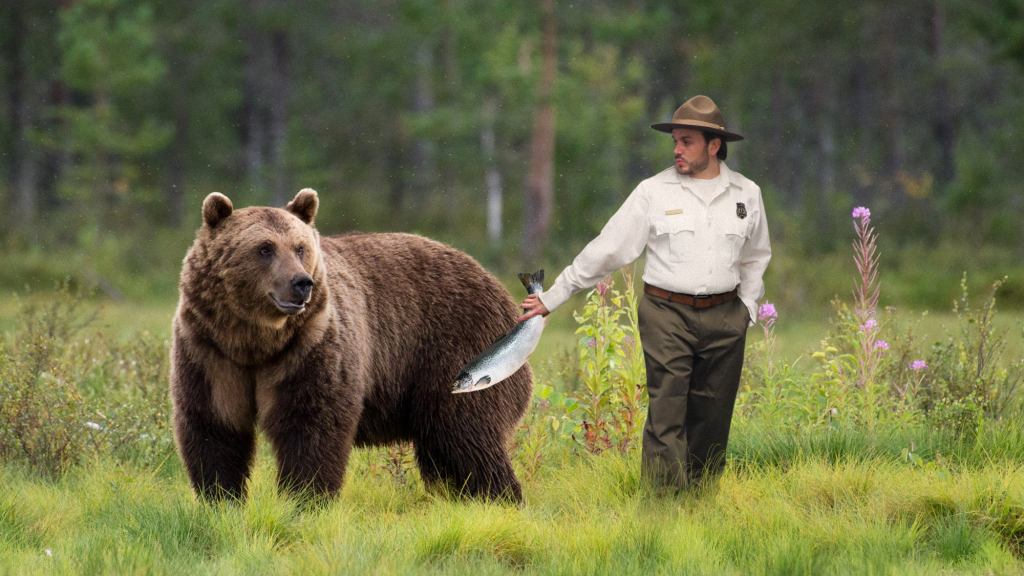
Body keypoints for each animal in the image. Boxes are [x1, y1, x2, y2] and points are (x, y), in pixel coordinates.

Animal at [171, 187, 532, 498]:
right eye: (264, 248)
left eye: (300, 247)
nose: (301, 283)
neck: (256, 341)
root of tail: (499, 289)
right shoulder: (210, 350)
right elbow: (215, 424)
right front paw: (221, 498)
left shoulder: (310, 344)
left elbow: (311, 424)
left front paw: (304, 498)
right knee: (443, 452)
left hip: (455, 348)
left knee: (467, 435)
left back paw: (499, 497)